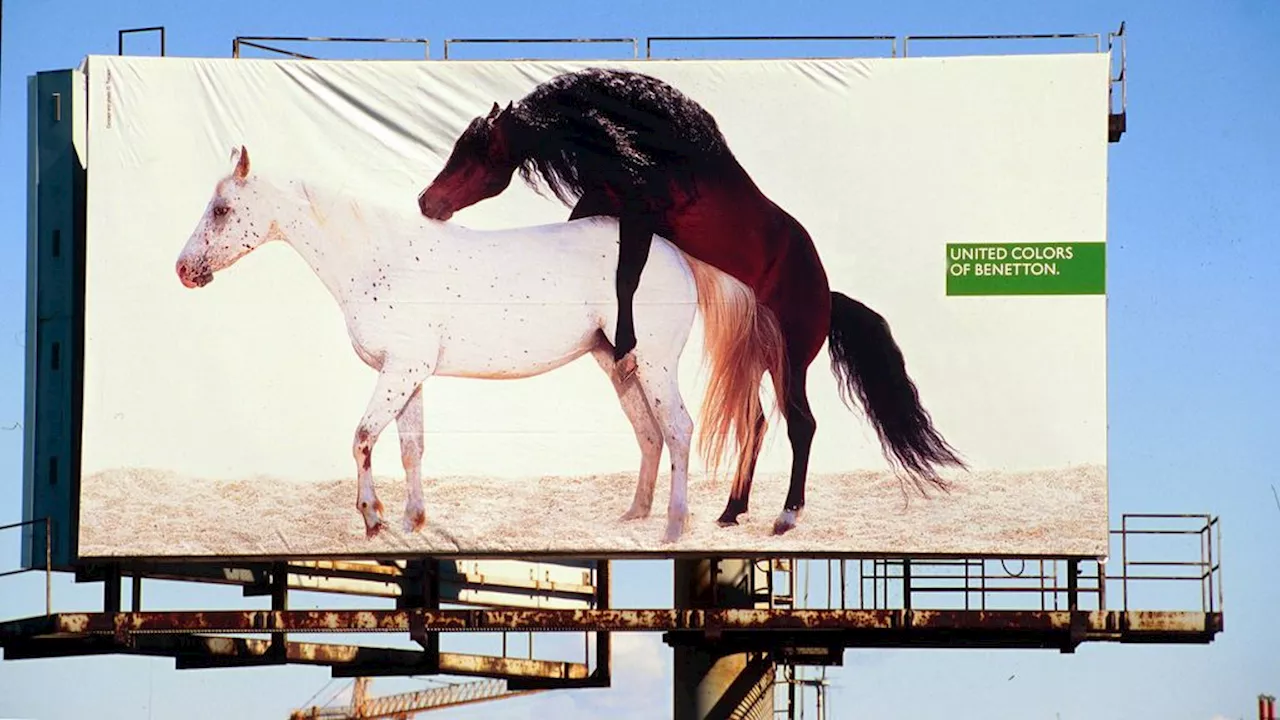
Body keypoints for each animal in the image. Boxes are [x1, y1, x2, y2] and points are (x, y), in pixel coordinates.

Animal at [175, 148, 783, 545]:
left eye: (222, 210)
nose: (183, 269)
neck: (380, 258)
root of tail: (675, 252)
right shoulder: (409, 375)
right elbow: (411, 448)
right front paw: (412, 522)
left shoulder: (399, 372)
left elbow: (363, 438)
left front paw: (372, 519)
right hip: (619, 363)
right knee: (649, 433)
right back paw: (633, 515)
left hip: (656, 365)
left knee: (678, 429)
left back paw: (675, 528)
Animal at [414, 67, 962, 530]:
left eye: (474, 153)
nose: (426, 201)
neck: (657, 152)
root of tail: (827, 294)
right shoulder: (606, 201)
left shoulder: (640, 213)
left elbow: (626, 274)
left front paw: (625, 342)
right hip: (756, 357)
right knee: (756, 422)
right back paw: (731, 510)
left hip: (791, 362)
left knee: (800, 425)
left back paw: (785, 515)